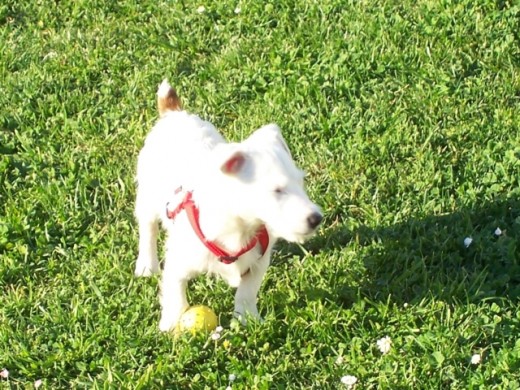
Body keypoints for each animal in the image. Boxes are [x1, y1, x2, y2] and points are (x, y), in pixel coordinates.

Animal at [134, 80, 320, 332]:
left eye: (301, 183)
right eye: (277, 190)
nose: (316, 218)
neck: (239, 229)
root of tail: (174, 114)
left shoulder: (259, 263)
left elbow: (246, 293)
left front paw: (247, 320)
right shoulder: (177, 265)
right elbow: (175, 295)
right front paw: (171, 325)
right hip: (146, 197)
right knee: (148, 230)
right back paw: (146, 265)